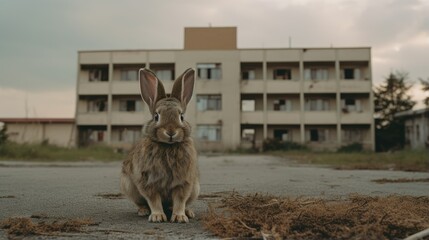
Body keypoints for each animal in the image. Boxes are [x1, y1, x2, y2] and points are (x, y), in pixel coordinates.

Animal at [120, 67, 199, 223]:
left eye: (181, 116)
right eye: (156, 116)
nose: (171, 132)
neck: (168, 146)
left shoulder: (184, 182)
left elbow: (180, 200)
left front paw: (180, 217)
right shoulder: (147, 181)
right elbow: (153, 200)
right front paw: (157, 216)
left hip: (195, 188)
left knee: (183, 203)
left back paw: (189, 212)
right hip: (129, 186)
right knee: (141, 203)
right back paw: (144, 211)